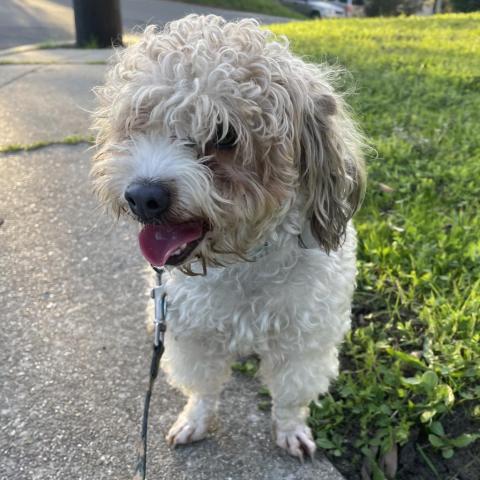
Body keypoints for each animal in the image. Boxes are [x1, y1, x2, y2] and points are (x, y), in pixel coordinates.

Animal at [92, 13, 366, 460]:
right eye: (140, 123)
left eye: (225, 136)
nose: (142, 197)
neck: (243, 261)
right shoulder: (191, 330)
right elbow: (202, 386)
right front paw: (195, 419)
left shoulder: (305, 338)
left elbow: (290, 394)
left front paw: (291, 428)